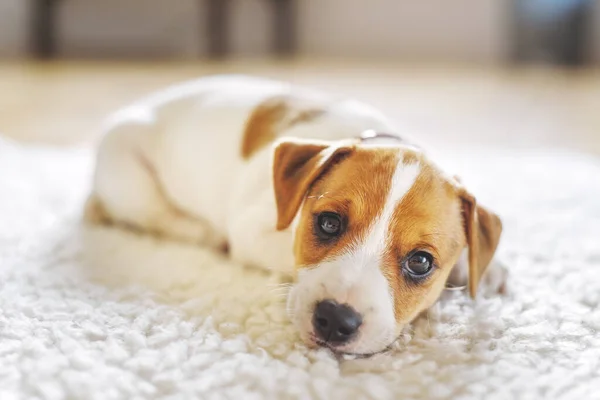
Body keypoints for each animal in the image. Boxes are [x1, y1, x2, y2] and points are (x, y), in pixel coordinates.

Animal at [85, 73, 506, 354]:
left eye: (420, 262)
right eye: (328, 223)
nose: (335, 320)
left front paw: (485, 271)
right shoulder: (252, 231)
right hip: (128, 175)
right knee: (154, 215)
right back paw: (202, 231)